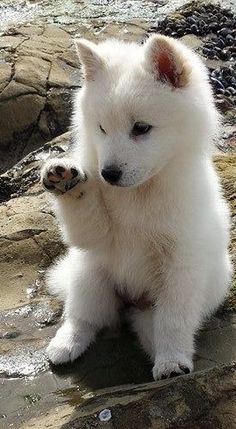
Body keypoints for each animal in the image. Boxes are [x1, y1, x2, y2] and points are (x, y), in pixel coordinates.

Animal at [41, 36, 231, 378]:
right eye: (102, 128)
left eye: (141, 128)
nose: (108, 174)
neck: (140, 192)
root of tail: (131, 305)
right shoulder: (98, 235)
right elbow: (87, 224)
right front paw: (65, 176)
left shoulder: (181, 263)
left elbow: (173, 319)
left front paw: (171, 361)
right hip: (90, 273)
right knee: (83, 317)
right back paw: (65, 345)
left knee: (150, 328)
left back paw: (164, 354)